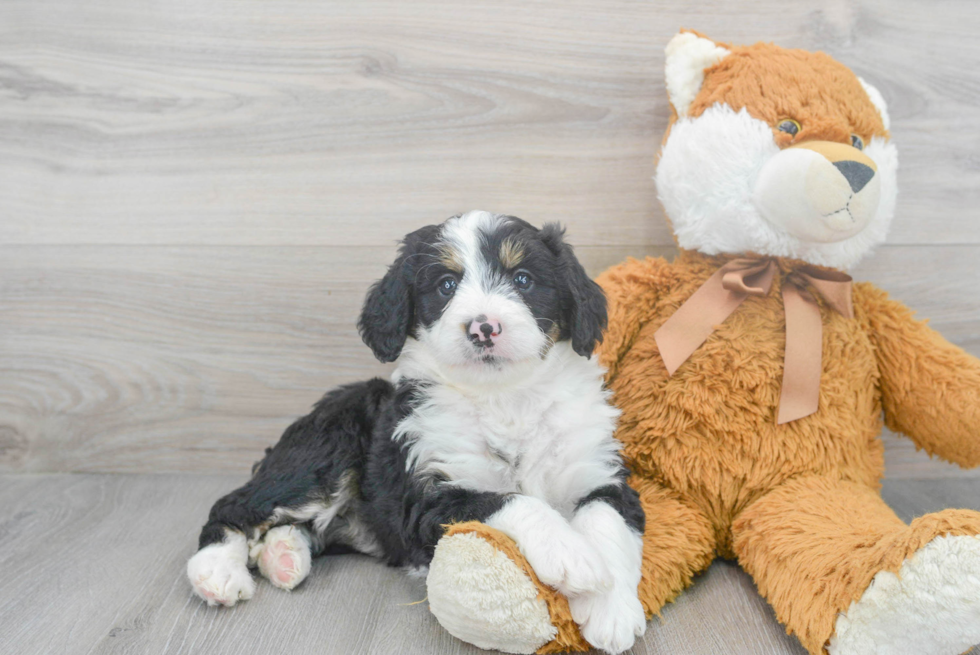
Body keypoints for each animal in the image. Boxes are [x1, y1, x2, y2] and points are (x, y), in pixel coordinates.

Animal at [187, 213, 648, 652]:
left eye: (522, 279)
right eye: (446, 285)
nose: (484, 327)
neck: (505, 398)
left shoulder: (598, 471)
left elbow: (607, 521)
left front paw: (613, 612)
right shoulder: (431, 498)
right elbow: (510, 500)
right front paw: (570, 554)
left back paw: (283, 557)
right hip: (324, 455)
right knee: (234, 505)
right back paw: (216, 571)